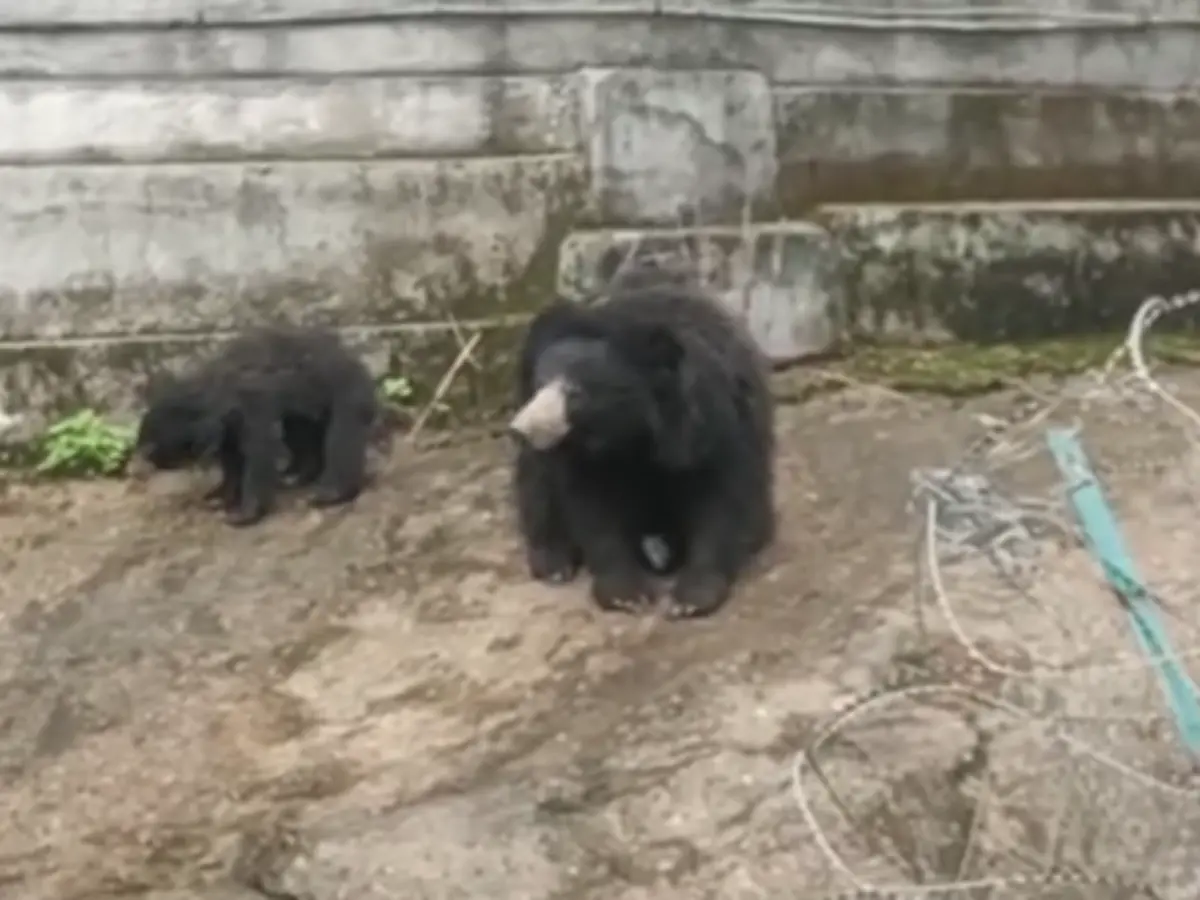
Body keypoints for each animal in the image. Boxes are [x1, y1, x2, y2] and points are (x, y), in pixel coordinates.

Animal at [131, 325, 378, 527]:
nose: (144, 458)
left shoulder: (251, 405)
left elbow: (257, 451)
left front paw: (244, 514)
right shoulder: (228, 426)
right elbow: (232, 458)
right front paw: (218, 496)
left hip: (346, 392)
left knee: (342, 435)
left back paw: (329, 492)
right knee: (300, 432)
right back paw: (295, 476)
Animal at [508, 280, 775, 619]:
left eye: (575, 392)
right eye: (540, 384)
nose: (520, 429)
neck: (632, 433)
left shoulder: (723, 425)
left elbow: (724, 497)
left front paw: (691, 599)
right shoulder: (583, 457)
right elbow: (593, 507)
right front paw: (627, 594)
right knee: (537, 485)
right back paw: (554, 562)